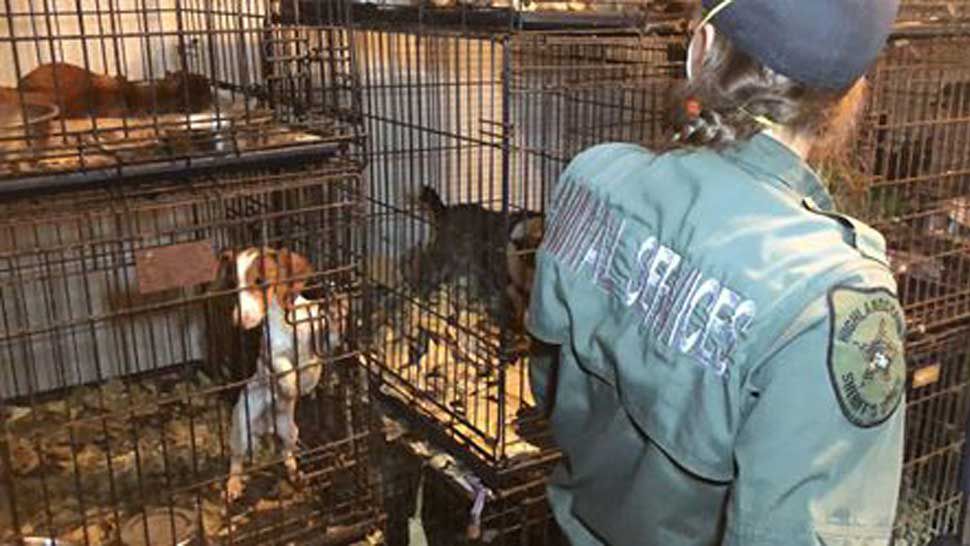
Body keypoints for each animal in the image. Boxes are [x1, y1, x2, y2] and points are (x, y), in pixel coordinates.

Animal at [221, 245, 350, 498]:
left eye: (260, 281)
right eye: (233, 284)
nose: (239, 322)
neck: (283, 319)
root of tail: (267, 425)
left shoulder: (321, 343)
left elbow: (330, 335)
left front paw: (336, 311)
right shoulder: (271, 354)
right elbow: (284, 367)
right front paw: (292, 386)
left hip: (291, 431)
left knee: (285, 452)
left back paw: (294, 472)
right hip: (241, 425)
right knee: (237, 458)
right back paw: (234, 483)